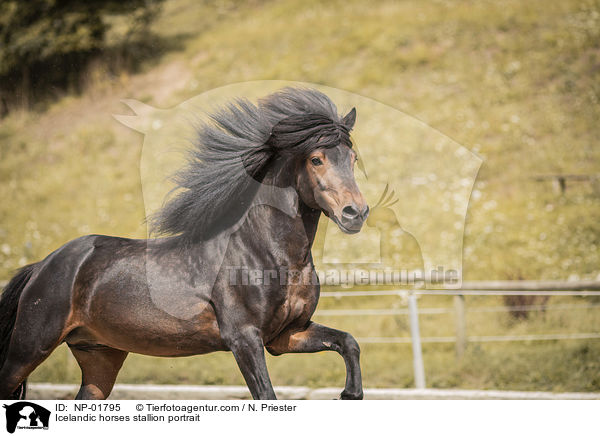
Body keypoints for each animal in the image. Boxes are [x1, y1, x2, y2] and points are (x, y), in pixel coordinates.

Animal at [0, 87, 368, 400]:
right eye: (316, 159)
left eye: (352, 158)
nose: (356, 213)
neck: (265, 255)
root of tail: (42, 266)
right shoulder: (245, 339)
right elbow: (267, 396)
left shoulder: (287, 335)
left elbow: (348, 341)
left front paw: (350, 394)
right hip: (30, 346)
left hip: (99, 355)